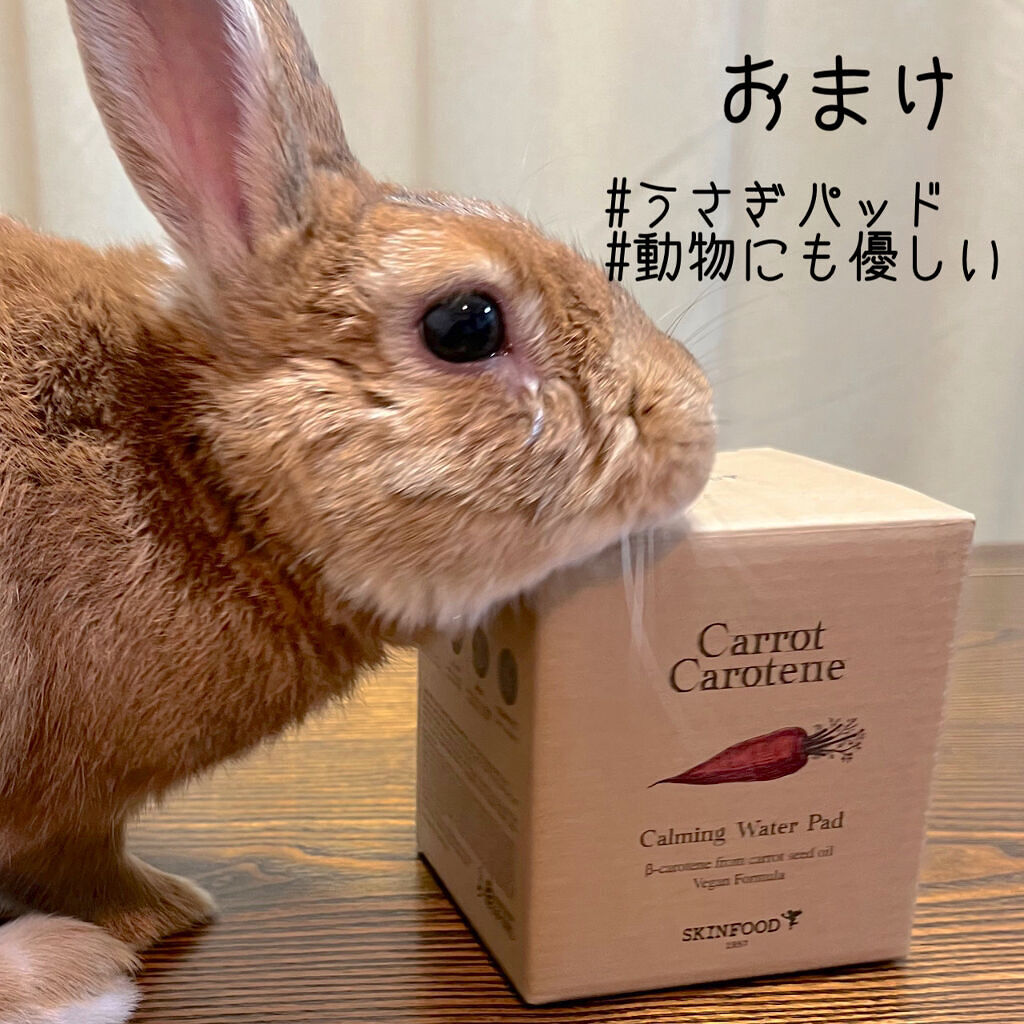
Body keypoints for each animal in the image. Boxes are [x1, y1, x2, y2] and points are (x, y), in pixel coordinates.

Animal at [0, 0, 715, 1020]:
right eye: (465, 324)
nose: (697, 422)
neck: (207, 476)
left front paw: (158, 913)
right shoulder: (62, 802)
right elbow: (78, 860)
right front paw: (122, 944)